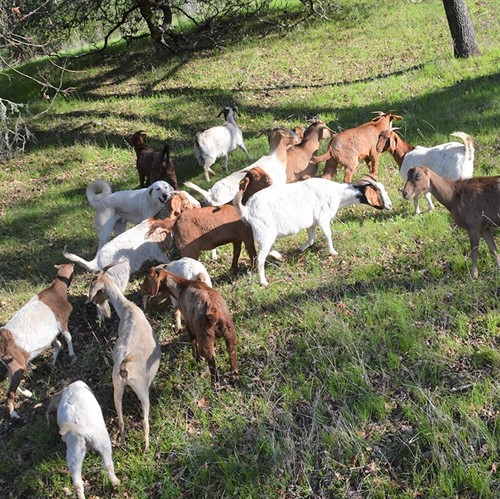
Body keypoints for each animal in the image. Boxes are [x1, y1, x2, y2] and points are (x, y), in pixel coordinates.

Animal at [0, 264, 75, 420]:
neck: (55, 291)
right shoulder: (62, 321)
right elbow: (68, 337)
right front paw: (72, 355)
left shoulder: (52, 332)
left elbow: (58, 344)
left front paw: (52, 361)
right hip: (16, 363)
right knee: (10, 391)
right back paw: (14, 414)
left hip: (11, 364)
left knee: (11, 379)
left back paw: (27, 393)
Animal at [87, 266, 161, 454]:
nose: (92, 301)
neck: (128, 309)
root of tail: (124, 369)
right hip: (142, 390)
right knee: (145, 421)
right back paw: (146, 447)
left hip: (117, 389)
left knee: (120, 421)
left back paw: (121, 442)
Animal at [232, 177, 392, 288]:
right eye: (378, 191)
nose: (390, 205)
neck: (338, 194)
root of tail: (247, 210)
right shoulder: (323, 218)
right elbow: (328, 234)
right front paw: (333, 252)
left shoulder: (312, 223)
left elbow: (311, 239)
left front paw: (299, 249)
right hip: (265, 235)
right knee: (259, 259)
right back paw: (264, 282)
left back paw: (278, 256)